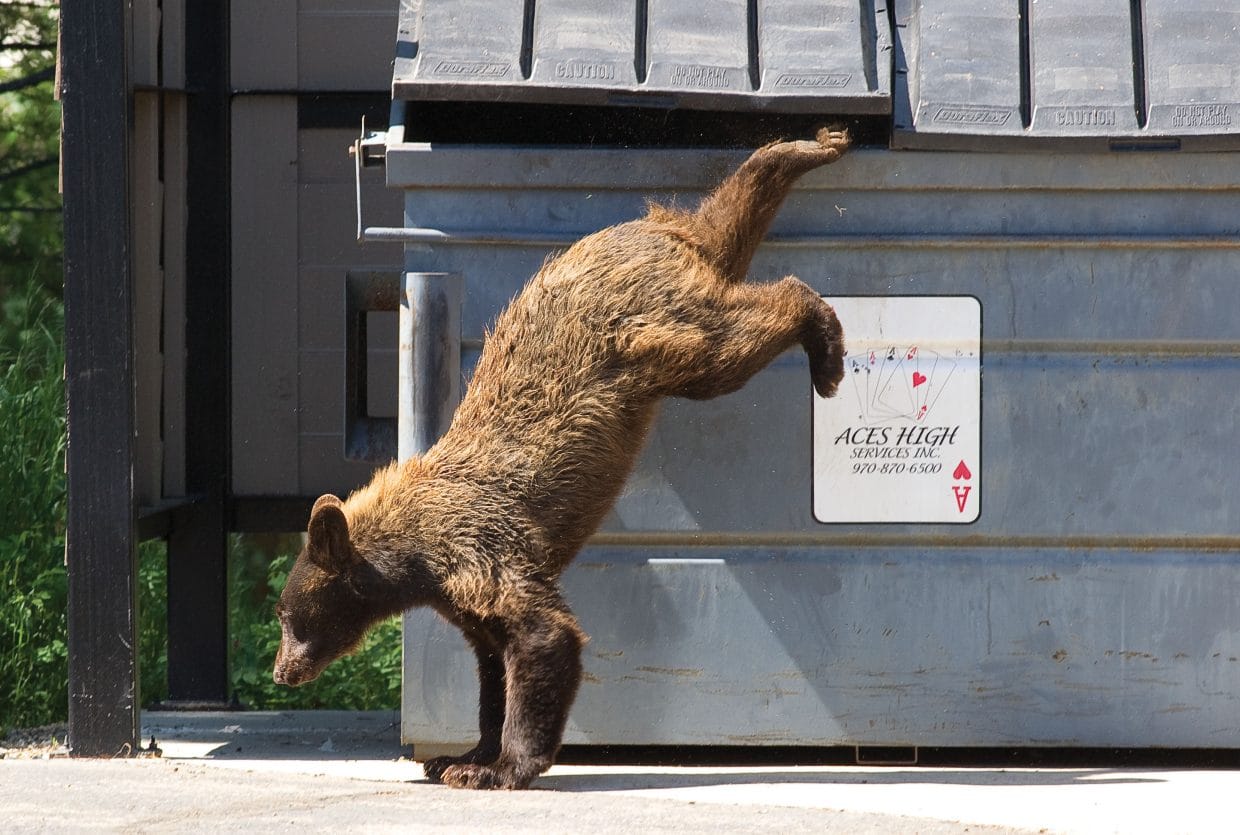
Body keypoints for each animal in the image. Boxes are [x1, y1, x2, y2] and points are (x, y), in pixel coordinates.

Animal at [273, 126, 852, 789]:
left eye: (292, 617)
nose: (281, 673)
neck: (414, 560)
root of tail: (658, 232)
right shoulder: (461, 596)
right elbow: (492, 663)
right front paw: (463, 754)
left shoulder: (477, 550)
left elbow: (545, 635)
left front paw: (503, 767)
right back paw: (812, 148)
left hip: (659, 335)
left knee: (735, 336)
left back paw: (824, 346)